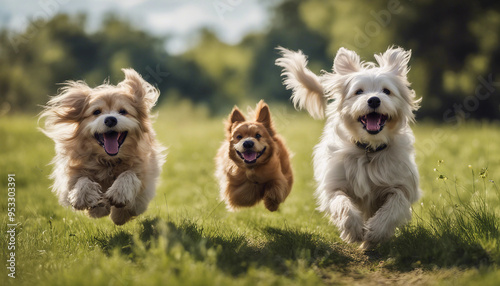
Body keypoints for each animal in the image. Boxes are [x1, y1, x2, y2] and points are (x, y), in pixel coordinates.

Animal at [278, 46, 422, 248]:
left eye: (386, 91)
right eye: (359, 91)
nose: (374, 100)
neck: (369, 150)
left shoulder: (403, 186)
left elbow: (394, 205)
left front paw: (376, 231)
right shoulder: (334, 185)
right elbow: (342, 204)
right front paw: (353, 229)